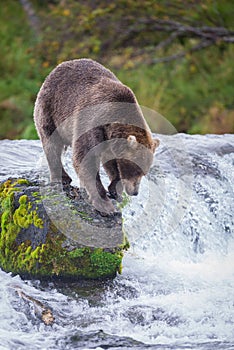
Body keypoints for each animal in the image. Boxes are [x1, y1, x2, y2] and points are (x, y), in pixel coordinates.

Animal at [34, 58, 159, 215]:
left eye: (144, 172)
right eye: (136, 169)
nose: (135, 192)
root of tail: (58, 66)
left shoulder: (108, 142)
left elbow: (111, 163)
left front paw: (115, 190)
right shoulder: (92, 123)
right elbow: (85, 159)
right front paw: (105, 205)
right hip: (50, 109)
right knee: (51, 145)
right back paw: (62, 177)